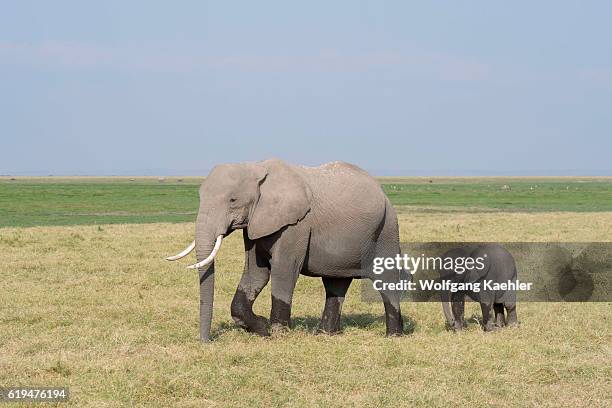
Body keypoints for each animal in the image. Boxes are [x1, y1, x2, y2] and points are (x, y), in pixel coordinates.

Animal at [165, 159, 404, 342]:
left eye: (232, 200)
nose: (206, 341)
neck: (255, 167)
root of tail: (382, 191)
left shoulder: (296, 225)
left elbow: (284, 270)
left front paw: (278, 334)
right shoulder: (256, 223)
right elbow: (256, 273)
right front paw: (262, 328)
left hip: (387, 228)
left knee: (385, 280)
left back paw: (393, 336)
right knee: (335, 284)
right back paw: (325, 334)